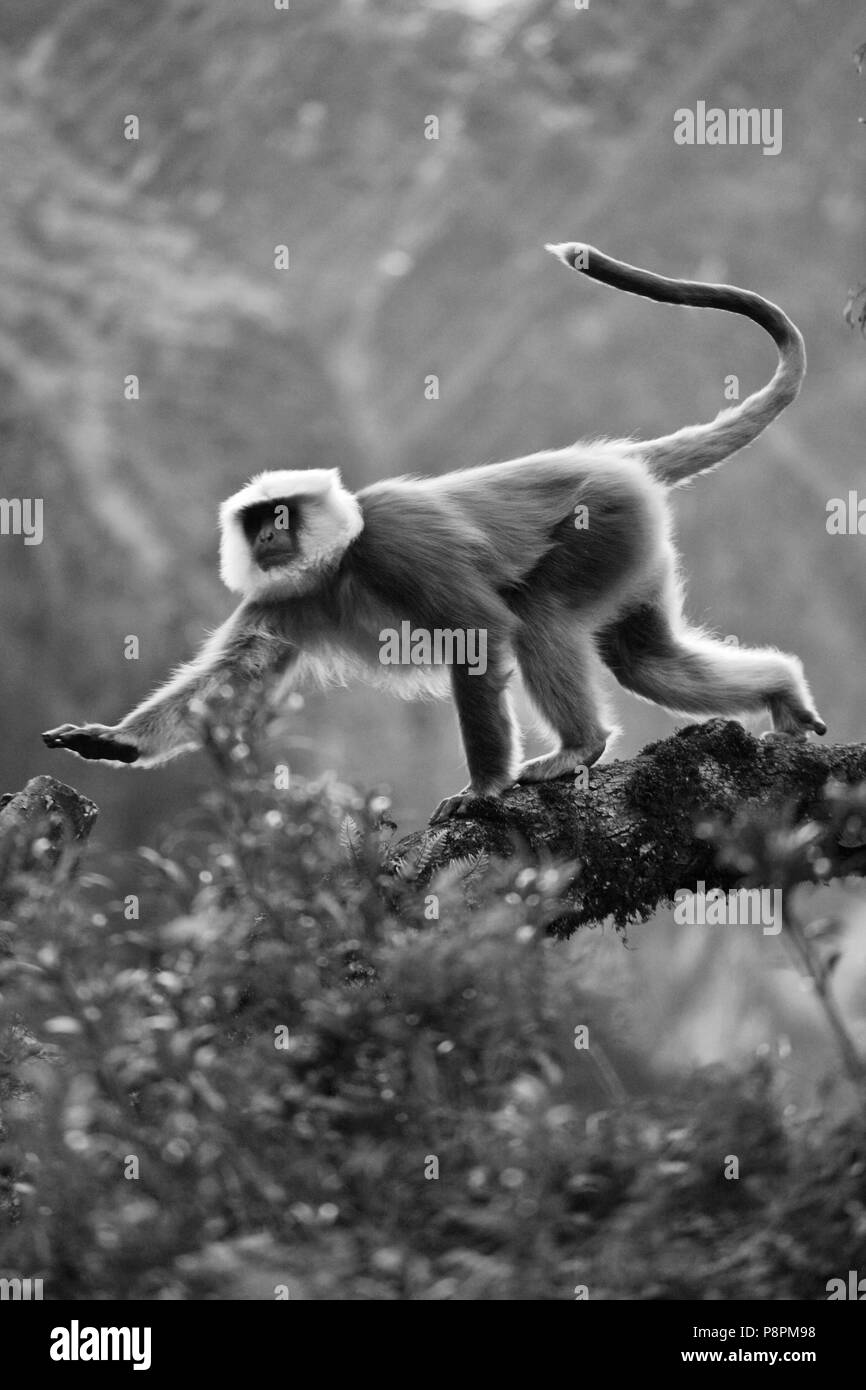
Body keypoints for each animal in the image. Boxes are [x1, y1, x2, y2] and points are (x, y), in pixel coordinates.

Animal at [42, 243, 828, 817]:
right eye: (257, 521)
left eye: (281, 514)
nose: (266, 539)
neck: (342, 561)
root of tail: (613, 459)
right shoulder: (283, 596)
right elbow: (231, 686)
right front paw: (115, 742)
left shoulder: (396, 546)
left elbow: (480, 633)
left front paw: (484, 790)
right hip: (634, 548)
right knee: (643, 657)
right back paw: (783, 691)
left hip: (602, 522)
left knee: (538, 614)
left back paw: (579, 748)